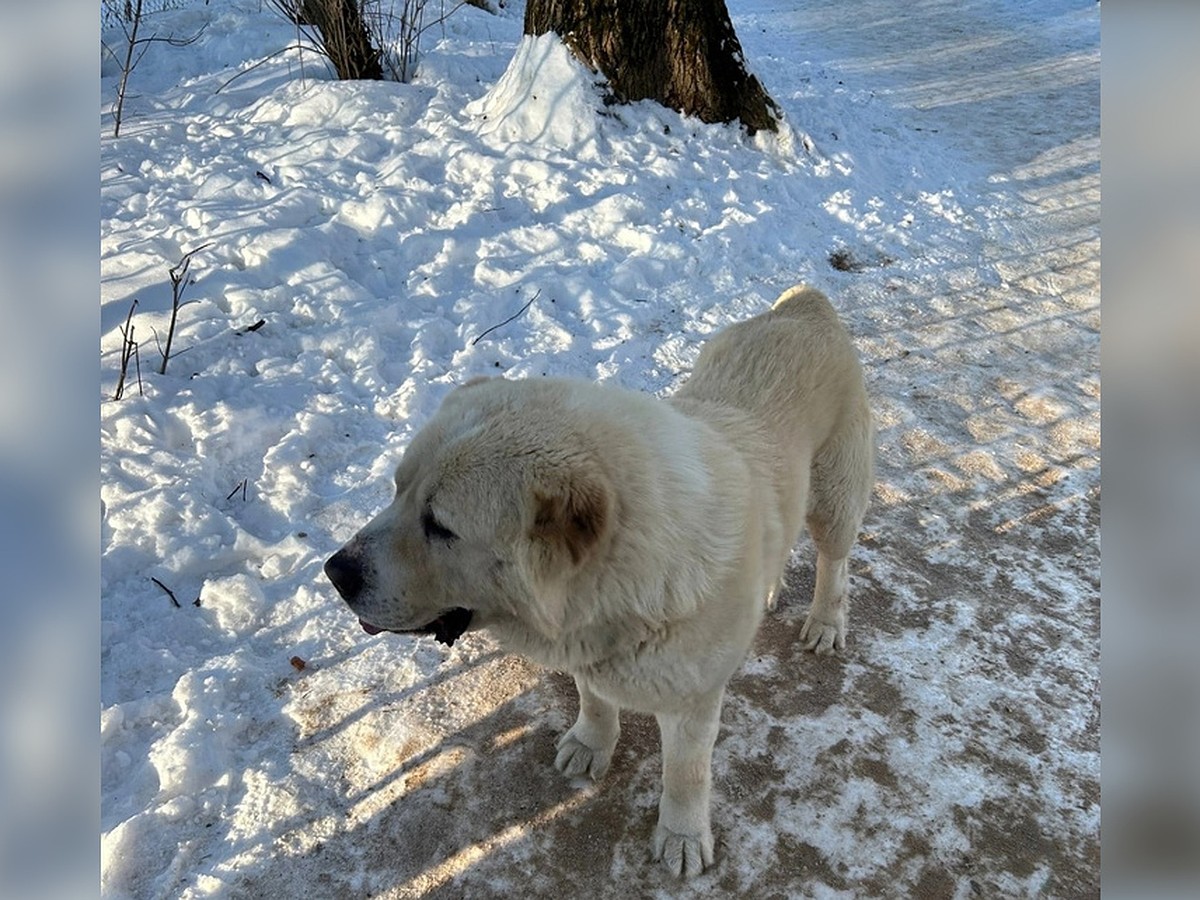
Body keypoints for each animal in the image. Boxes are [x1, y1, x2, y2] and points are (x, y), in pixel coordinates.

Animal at [326, 285, 873, 878]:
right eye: (396, 490)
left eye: (440, 525)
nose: (335, 572)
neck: (630, 586)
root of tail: (805, 305)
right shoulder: (585, 649)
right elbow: (593, 701)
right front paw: (591, 744)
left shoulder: (692, 703)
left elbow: (685, 775)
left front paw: (682, 835)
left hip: (835, 501)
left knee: (834, 562)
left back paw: (825, 621)